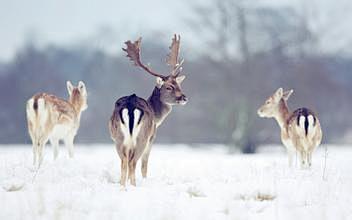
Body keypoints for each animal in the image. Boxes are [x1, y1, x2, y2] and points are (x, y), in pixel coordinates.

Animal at [109, 34, 187, 186]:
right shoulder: (152, 138)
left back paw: (123, 186)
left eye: (179, 85)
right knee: (133, 162)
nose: (184, 97)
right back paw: (133, 186)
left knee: (124, 162)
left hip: (118, 138)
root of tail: (131, 106)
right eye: (169, 87)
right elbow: (144, 166)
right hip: (142, 137)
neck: (157, 117)